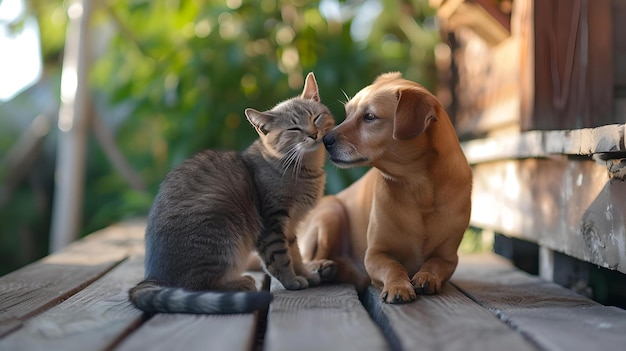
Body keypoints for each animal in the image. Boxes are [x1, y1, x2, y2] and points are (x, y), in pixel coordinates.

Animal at [126, 73, 332, 314]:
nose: (313, 133)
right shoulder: (272, 225)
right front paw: (291, 280)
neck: (302, 168)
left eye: (315, 117)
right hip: (222, 232)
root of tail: (153, 277)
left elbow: (296, 254)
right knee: (198, 286)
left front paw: (306, 274)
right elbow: (281, 258)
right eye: (294, 129)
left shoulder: (290, 227)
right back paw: (240, 282)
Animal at [296, 73, 468, 304]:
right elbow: (393, 267)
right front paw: (398, 286)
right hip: (331, 213)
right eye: (348, 113)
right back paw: (321, 267)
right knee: (305, 260)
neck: (418, 189)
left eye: (370, 117)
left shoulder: (448, 257)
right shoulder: (375, 254)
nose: (325, 139)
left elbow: (434, 264)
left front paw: (427, 276)